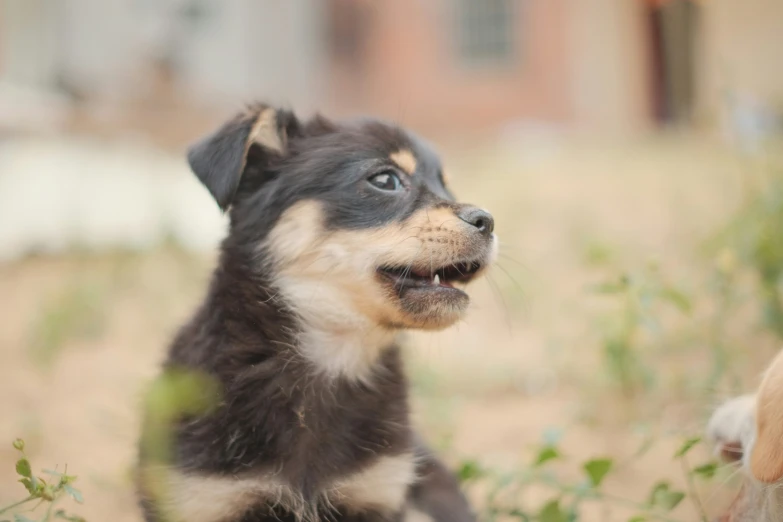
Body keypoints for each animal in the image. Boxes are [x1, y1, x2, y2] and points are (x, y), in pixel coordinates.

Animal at [136, 102, 496, 520]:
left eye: (446, 186)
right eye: (385, 180)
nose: (487, 221)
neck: (332, 357)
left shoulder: (376, 491)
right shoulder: (204, 497)